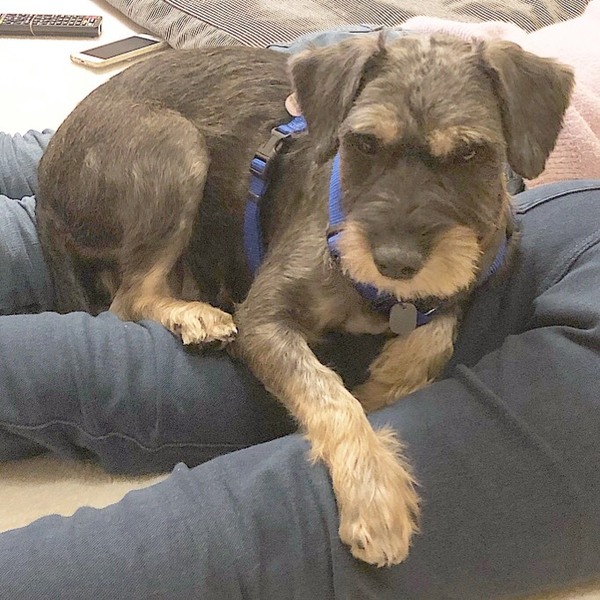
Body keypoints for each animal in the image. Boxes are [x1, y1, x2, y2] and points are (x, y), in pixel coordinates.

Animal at [36, 33, 573, 567]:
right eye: (364, 143)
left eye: (468, 153)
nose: (394, 261)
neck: (383, 297)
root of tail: (45, 185)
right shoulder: (264, 316)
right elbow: (328, 394)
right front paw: (374, 494)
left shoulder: (468, 278)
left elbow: (435, 333)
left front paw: (385, 382)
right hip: (176, 147)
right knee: (130, 298)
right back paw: (196, 315)